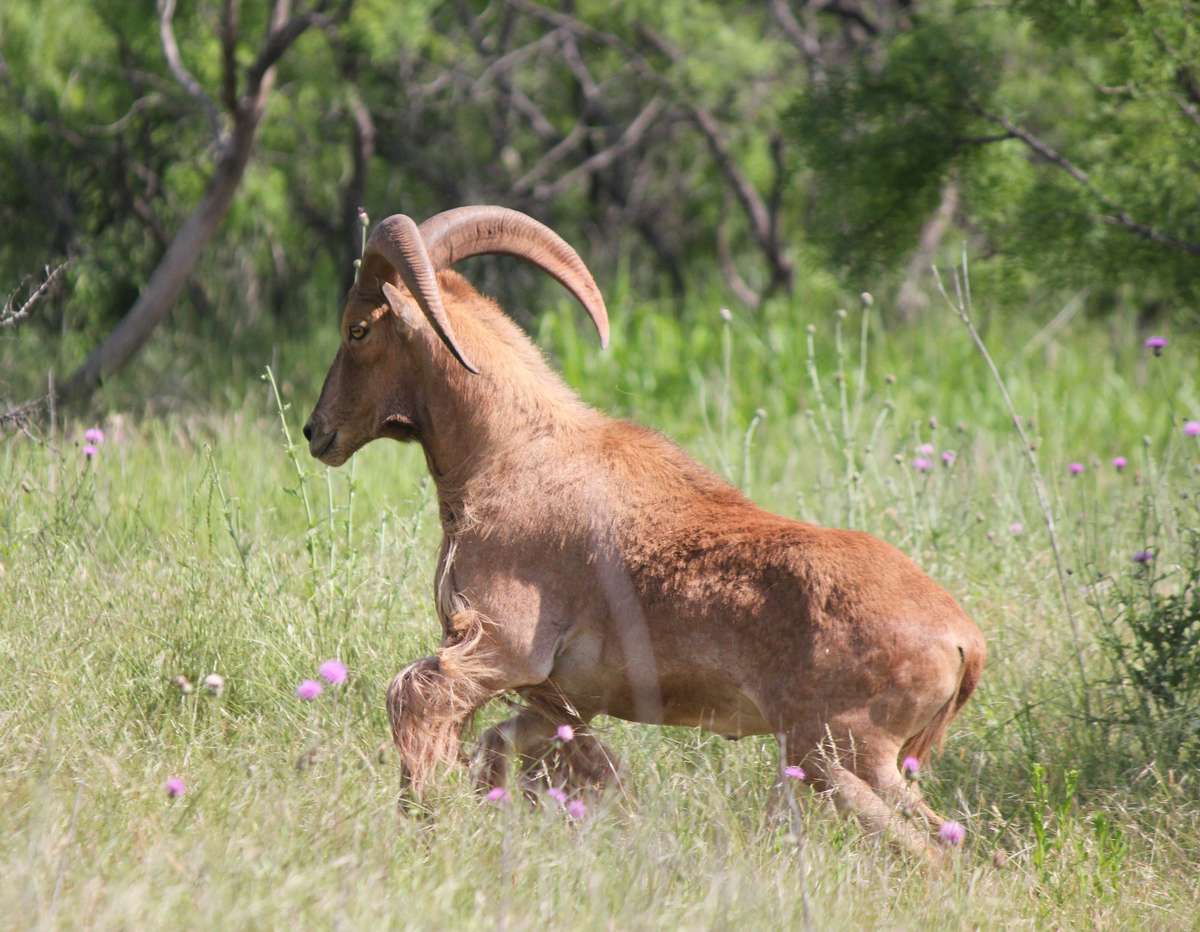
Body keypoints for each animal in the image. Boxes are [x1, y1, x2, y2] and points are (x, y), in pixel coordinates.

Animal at [302, 207, 984, 863]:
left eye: (357, 329)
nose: (315, 431)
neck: (507, 453)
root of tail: (963, 642)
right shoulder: (562, 700)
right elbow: (520, 748)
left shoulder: (502, 648)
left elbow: (414, 703)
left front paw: (424, 826)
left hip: (838, 752)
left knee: (931, 849)